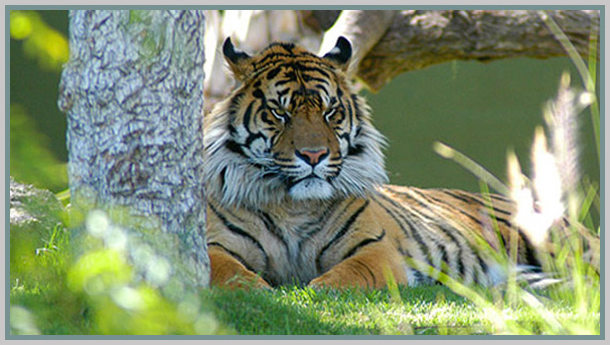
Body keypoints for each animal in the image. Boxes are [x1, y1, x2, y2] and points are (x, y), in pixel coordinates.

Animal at [204, 36, 600, 288]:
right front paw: (261, 293)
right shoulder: (213, 246)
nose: (314, 155)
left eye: (330, 112)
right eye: (279, 113)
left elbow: (337, 281)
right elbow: (231, 277)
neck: (293, 206)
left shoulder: (375, 250)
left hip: (558, 245)